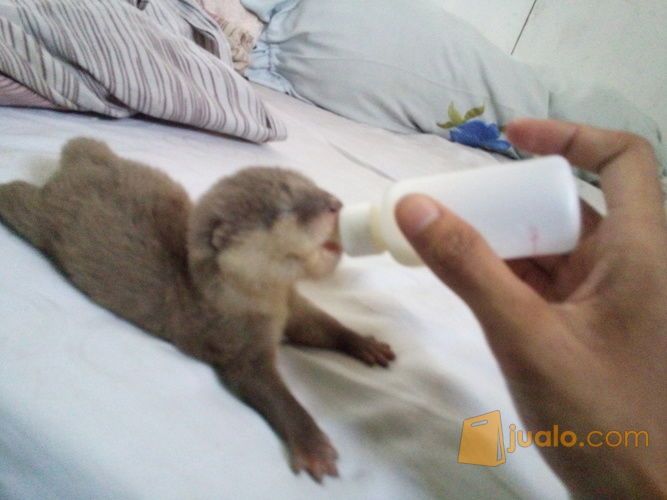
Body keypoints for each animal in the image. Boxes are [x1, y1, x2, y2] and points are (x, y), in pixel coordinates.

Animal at [0, 138, 395, 482]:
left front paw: (367, 344)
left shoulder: (293, 306)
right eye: (285, 211)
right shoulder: (234, 339)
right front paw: (313, 447)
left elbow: (324, 325)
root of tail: (81, 164)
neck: (253, 301)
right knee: (19, 198)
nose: (335, 203)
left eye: (316, 188)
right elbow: (271, 391)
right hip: (42, 218)